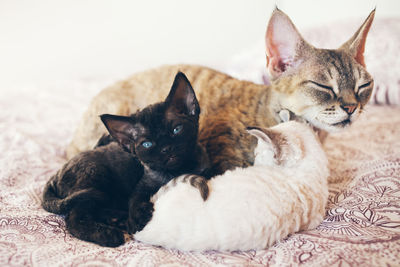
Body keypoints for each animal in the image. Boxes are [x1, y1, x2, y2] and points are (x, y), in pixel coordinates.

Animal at [40, 73, 209, 247]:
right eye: (147, 144)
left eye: (177, 129)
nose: (166, 148)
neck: (177, 171)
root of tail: (56, 174)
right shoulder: (142, 185)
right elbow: (135, 199)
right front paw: (139, 217)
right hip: (96, 177)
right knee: (74, 217)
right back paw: (108, 234)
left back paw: (116, 219)